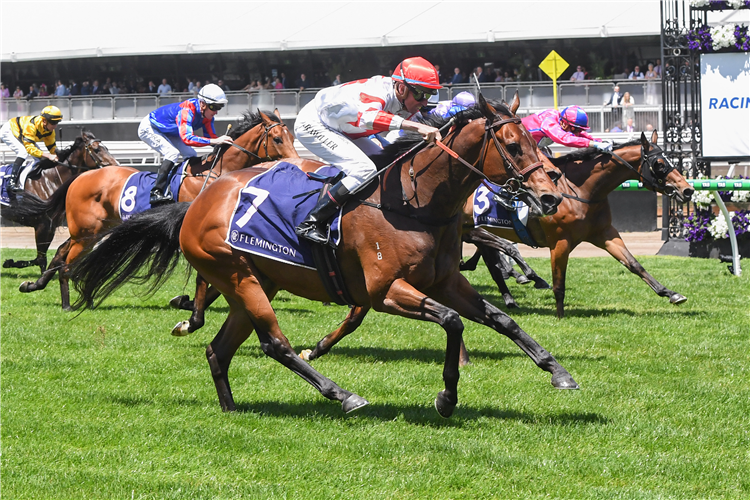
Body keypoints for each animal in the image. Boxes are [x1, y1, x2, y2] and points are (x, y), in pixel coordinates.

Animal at [1, 130, 116, 274]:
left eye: (107, 148)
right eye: (96, 149)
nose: (116, 165)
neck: (51, 179)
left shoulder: (51, 226)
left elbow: (41, 258)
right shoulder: (42, 224)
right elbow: (40, 259)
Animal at [14, 111, 296, 310]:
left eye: (293, 138)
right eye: (277, 139)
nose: (295, 163)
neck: (217, 173)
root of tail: (81, 176)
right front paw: (188, 302)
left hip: (92, 230)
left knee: (61, 252)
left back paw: (38, 285)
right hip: (85, 230)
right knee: (66, 258)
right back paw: (67, 302)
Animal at [464, 131, 700, 318]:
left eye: (670, 161)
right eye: (659, 165)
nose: (687, 190)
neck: (580, 191)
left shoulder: (604, 233)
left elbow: (634, 264)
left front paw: (671, 294)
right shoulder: (559, 242)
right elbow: (559, 283)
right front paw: (560, 317)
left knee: (492, 262)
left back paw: (510, 295)